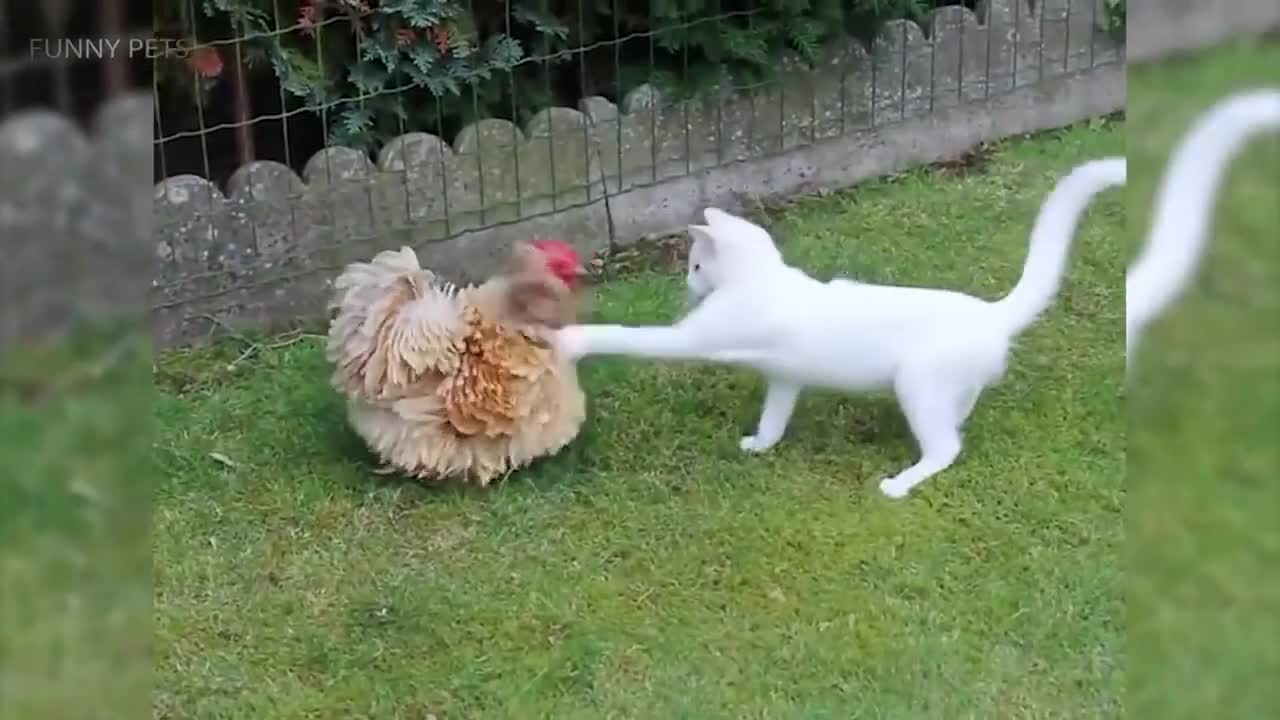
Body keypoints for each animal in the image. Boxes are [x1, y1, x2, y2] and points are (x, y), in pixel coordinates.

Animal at [555, 158, 1126, 491]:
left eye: (696, 266)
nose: (691, 286)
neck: (763, 278)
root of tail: (993, 312)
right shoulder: (785, 378)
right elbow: (774, 418)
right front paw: (760, 446)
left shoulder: (693, 338)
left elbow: (632, 337)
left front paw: (570, 340)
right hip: (946, 388)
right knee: (956, 422)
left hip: (917, 383)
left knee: (947, 448)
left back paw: (900, 483)